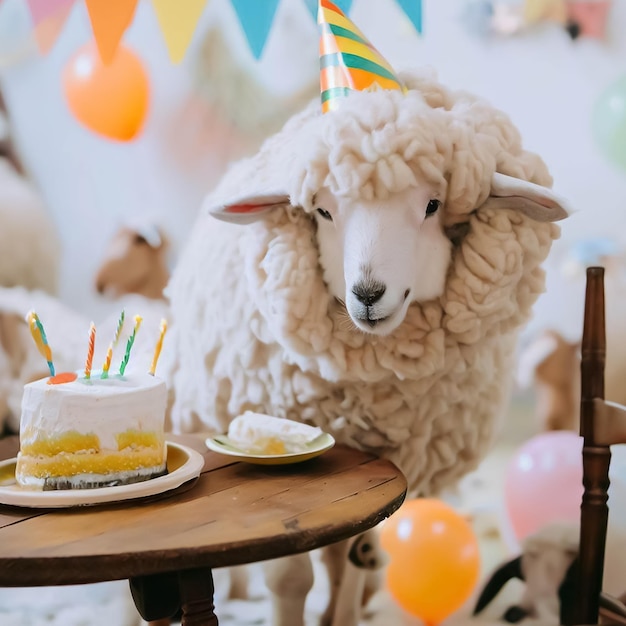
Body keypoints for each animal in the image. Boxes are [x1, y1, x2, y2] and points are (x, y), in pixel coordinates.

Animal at [162, 64, 572, 626]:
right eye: (322, 211)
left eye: (432, 205)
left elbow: (356, 557)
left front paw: (345, 611)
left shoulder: (381, 474)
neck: (374, 395)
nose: (368, 295)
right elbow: (289, 577)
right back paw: (241, 587)